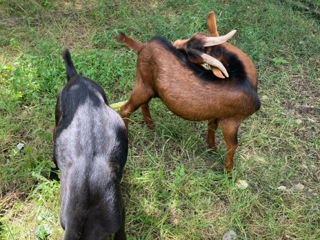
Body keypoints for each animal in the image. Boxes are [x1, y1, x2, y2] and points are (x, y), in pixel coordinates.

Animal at [117, 10, 260, 172]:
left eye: (190, 53)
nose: (176, 43)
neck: (244, 79)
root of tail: (142, 46)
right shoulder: (232, 121)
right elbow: (233, 145)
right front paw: (228, 172)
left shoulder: (217, 114)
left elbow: (212, 127)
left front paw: (212, 148)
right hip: (143, 86)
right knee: (125, 109)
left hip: (148, 85)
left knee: (144, 103)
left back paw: (151, 125)